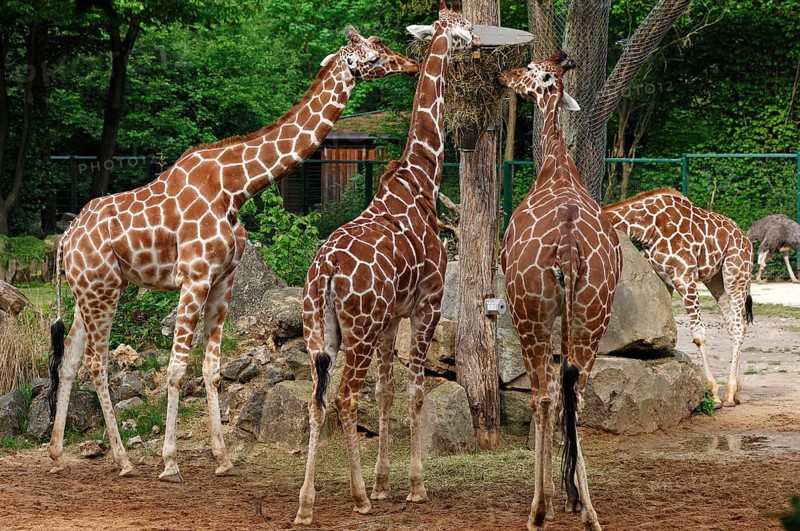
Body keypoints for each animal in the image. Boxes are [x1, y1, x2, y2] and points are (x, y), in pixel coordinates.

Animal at [46, 27, 419, 482]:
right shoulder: (194, 276)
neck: (236, 186)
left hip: (88, 289)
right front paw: (170, 462)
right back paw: (123, 460)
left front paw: (222, 458)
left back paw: (57, 454)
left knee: (69, 360)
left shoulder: (223, 280)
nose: (411, 64)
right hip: (103, 291)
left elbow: (211, 369)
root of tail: (65, 240)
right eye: (374, 54)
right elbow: (176, 368)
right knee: (96, 364)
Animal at [294, 2, 474, 524]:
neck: (421, 177)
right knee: (344, 396)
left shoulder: (393, 315)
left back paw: (306, 504)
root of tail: (325, 275)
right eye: (465, 28)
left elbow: (388, 392)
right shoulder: (427, 304)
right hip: (359, 327)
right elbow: (415, 391)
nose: (410, 64)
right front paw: (413, 486)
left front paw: (383, 482)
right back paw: (356, 498)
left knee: (317, 401)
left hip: (321, 330)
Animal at [498, 54, 621, 531]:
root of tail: (568, 245)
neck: (556, 166)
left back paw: (537, 510)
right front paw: (569, 498)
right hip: (593, 314)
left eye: (530, 69)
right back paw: (590, 512)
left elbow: (545, 397)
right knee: (577, 393)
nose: (504, 75)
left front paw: (548, 502)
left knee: (544, 395)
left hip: (527, 314)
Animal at [604, 188, 754, 408]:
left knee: (739, 325)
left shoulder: (685, 278)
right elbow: (662, 330)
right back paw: (735, 393)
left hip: (736, 274)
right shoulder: (662, 279)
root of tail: (746, 239)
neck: (649, 226)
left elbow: (698, 336)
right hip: (716, 280)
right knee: (734, 324)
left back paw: (728, 395)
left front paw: (713, 393)